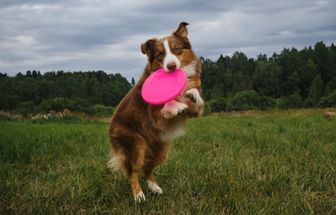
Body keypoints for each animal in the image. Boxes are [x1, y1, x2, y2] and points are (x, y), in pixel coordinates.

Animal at [107, 21, 203, 202]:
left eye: (177, 50)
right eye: (160, 55)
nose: (171, 66)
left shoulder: (195, 112)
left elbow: (196, 99)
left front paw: (193, 95)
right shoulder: (154, 115)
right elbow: (165, 106)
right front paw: (176, 106)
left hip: (161, 148)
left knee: (147, 168)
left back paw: (155, 187)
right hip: (135, 144)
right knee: (133, 171)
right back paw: (138, 195)